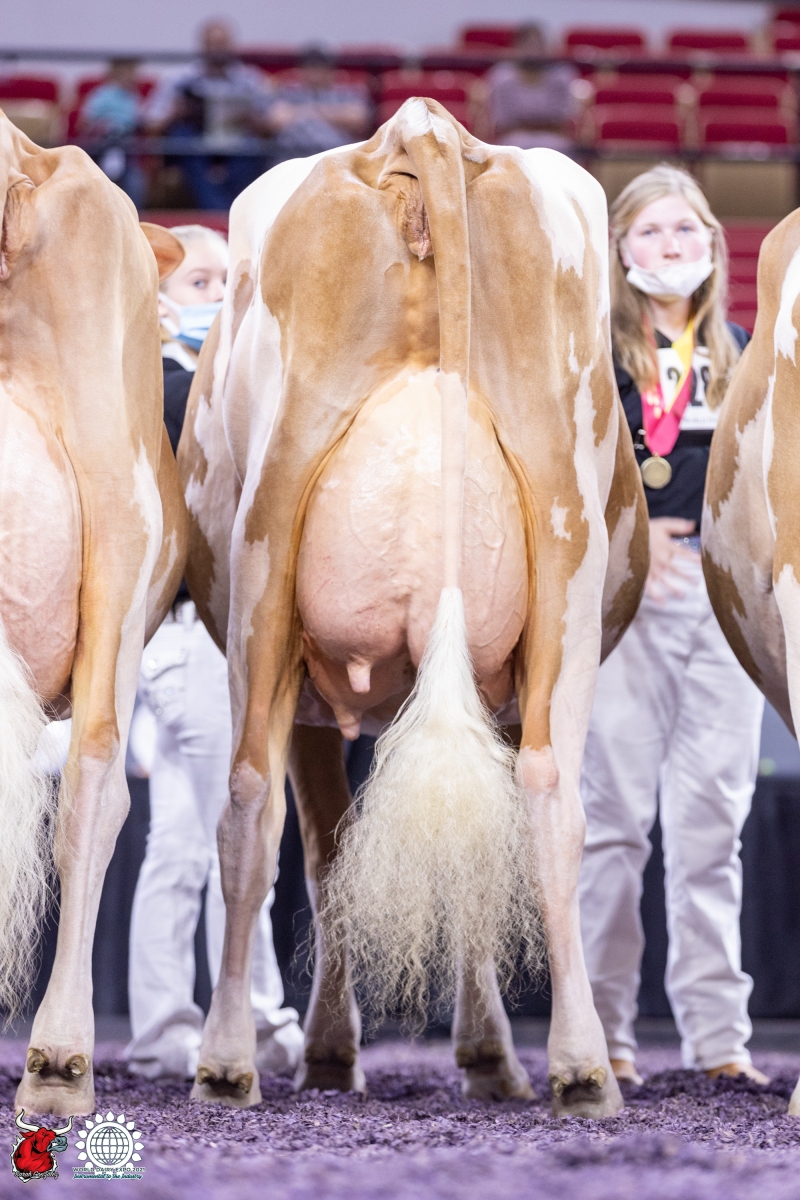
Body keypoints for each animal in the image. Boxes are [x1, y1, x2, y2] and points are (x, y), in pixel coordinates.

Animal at [178, 98, 649, 1118]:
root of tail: (419, 129)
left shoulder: (312, 699)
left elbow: (325, 851)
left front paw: (340, 1050)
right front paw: (484, 1053)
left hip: (264, 569)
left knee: (247, 803)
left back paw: (227, 1059)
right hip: (563, 562)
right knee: (547, 794)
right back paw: (581, 1064)